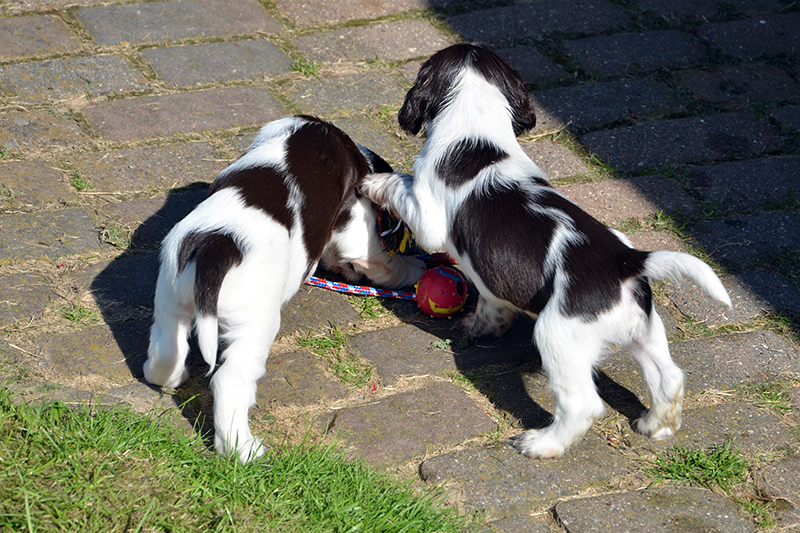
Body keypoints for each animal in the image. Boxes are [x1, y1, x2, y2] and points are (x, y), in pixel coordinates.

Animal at [360, 44, 732, 458]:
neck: (476, 129)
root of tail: (626, 261)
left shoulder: (427, 216)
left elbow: (401, 182)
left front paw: (374, 182)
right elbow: (491, 302)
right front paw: (481, 326)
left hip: (557, 335)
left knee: (583, 403)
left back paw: (542, 443)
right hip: (643, 329)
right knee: (668, 377)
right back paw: (656, 426)